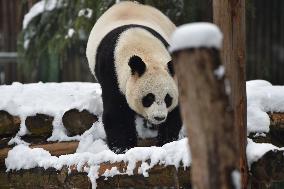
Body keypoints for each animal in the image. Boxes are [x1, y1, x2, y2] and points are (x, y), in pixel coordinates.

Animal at [86, 0, 182, 153]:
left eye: (168, 98)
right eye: (148, 98)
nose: (159, 117)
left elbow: (175, 112)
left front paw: (166, 142)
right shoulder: (112, 74)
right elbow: (117, 114)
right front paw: (122, 148)